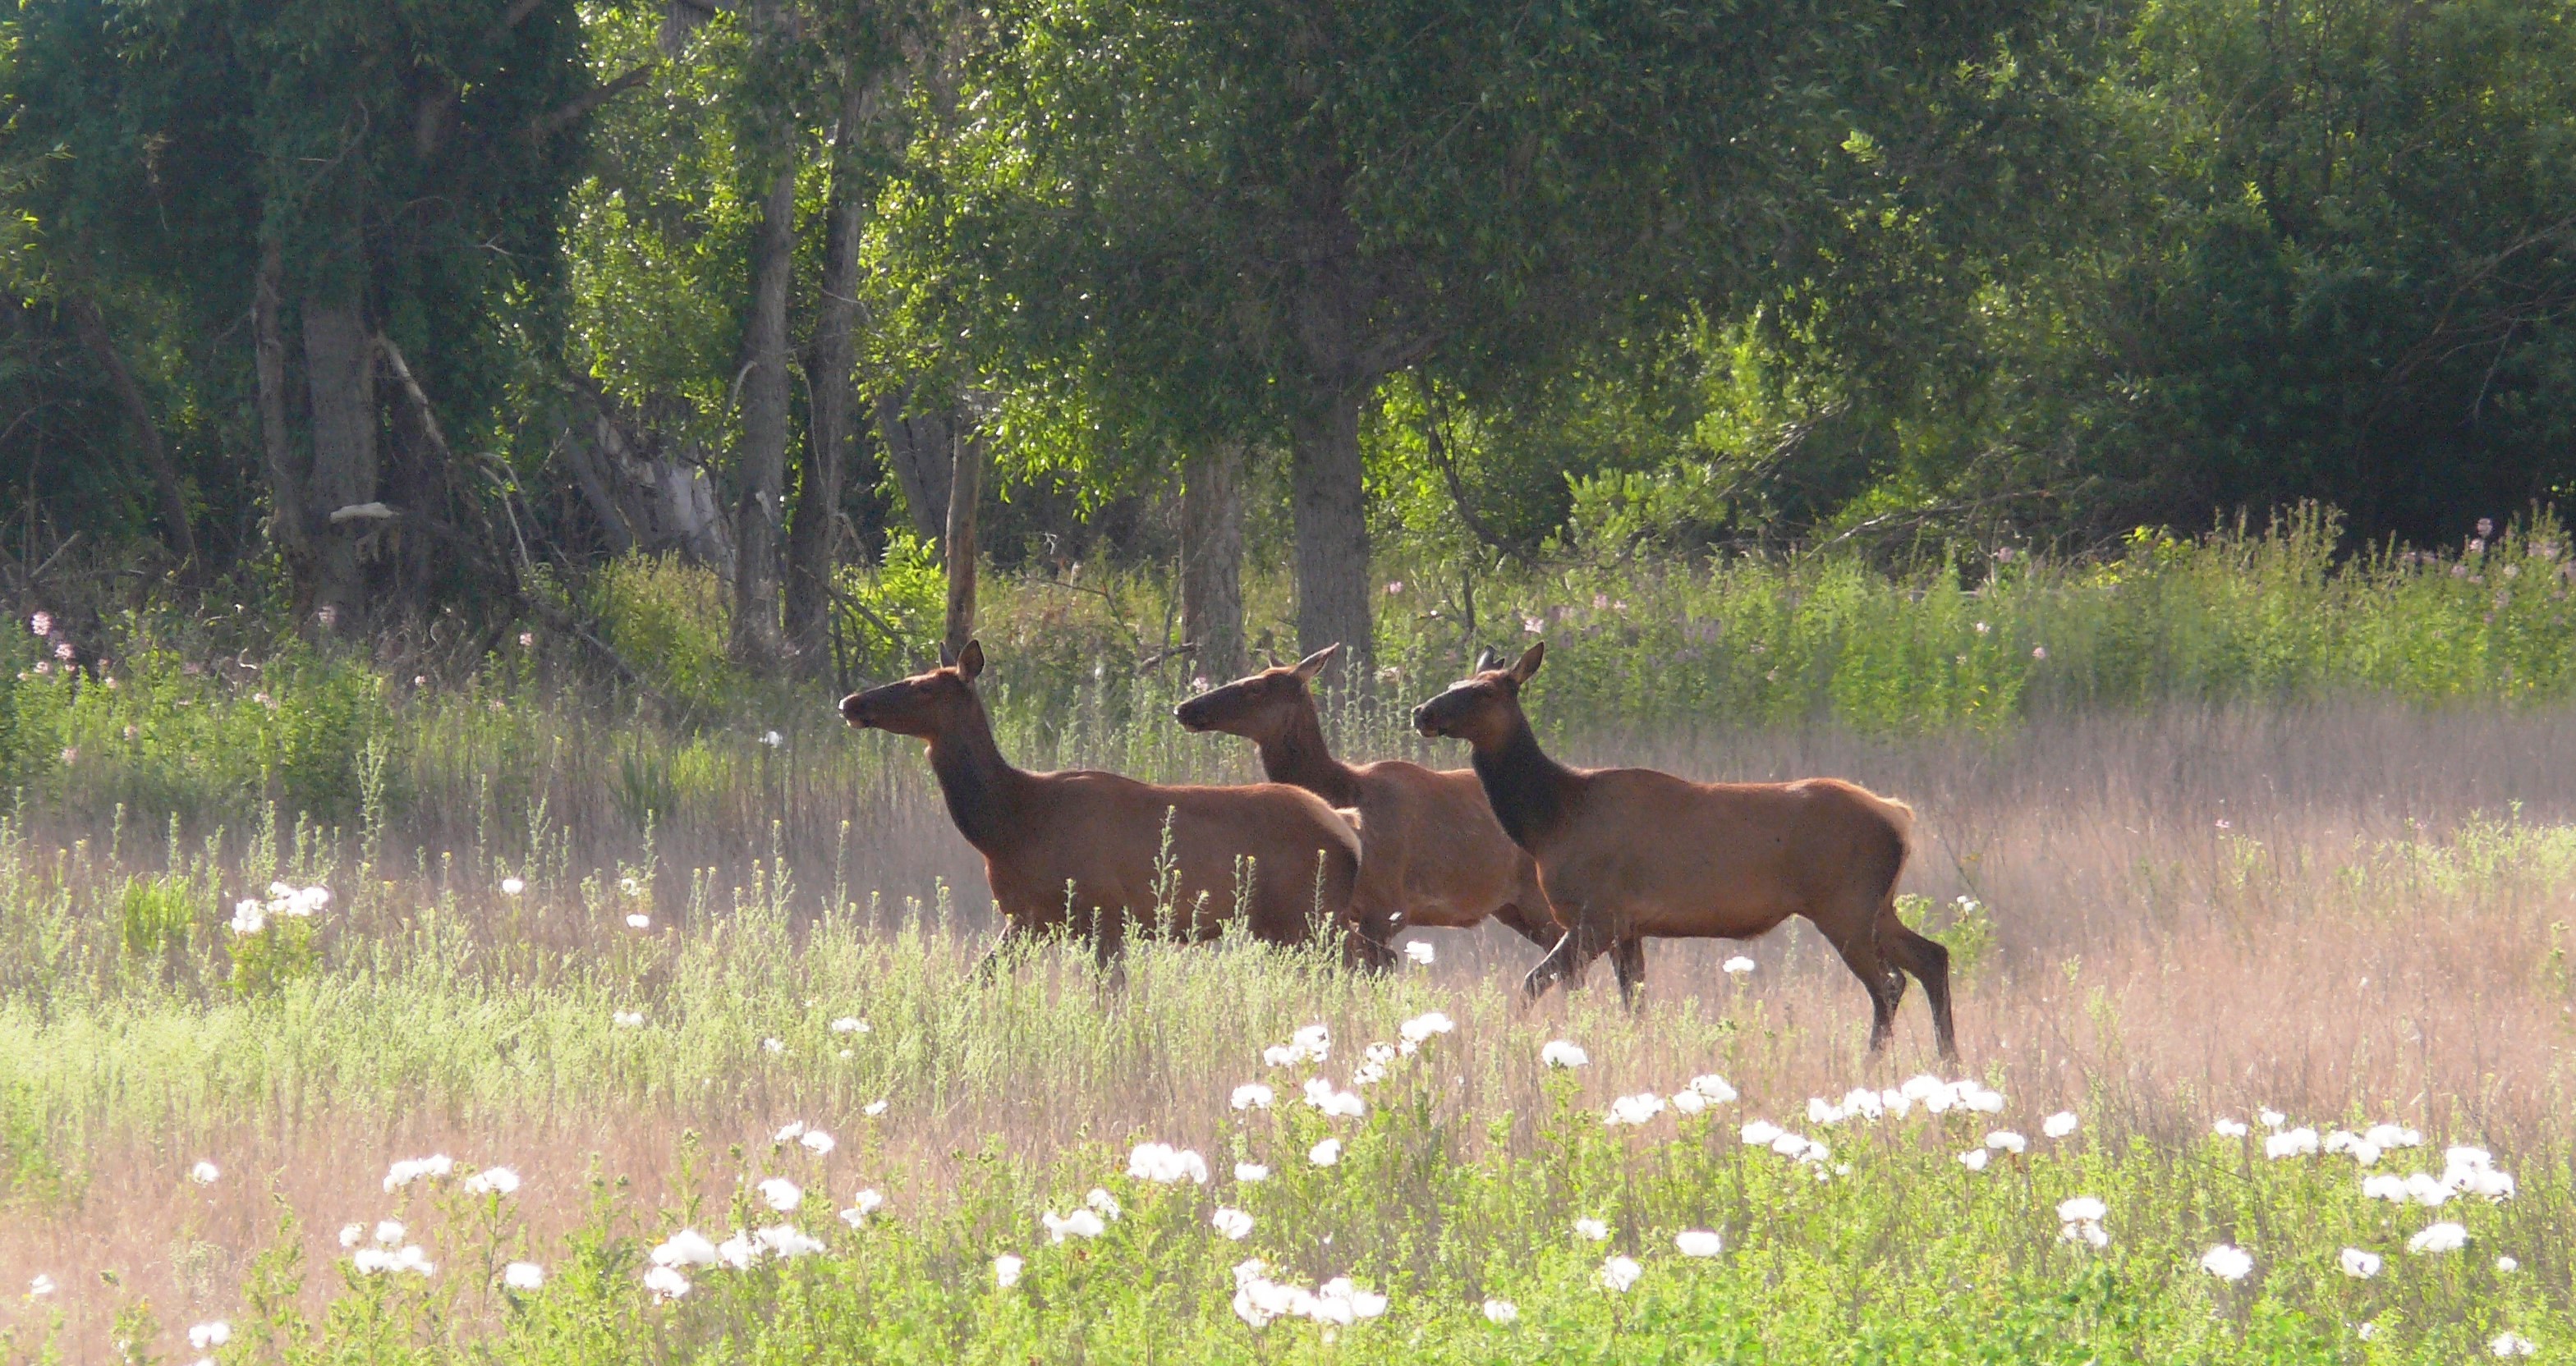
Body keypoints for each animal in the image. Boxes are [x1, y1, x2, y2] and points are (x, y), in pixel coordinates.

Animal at [838, 640, 1366, 970]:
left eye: (924, 686)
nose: (851, 702)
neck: (1012, 824)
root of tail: (1345, 824)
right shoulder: (1026, 919)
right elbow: (974, 983)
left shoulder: (1103, 913)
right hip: (1281, 923)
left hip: (1312, 911)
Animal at [1173, 644, 1563, 965]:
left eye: (1255, 687)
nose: (1185, 708)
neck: (1344, 791)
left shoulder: (1388, 905)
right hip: (1511, 907)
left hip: (1540, 898)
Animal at [1411, 642, 1956, 1061]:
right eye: (1456, 680)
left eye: (1484, 690)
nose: (1422, 711)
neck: (1549, 821)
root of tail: (1899, 816)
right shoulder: (1628, 926)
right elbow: (1634, 1004)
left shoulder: (1596, 915)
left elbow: (1533, 982)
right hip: (1876, 906)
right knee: (1932, 957)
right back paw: (1947, 1061)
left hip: (1845, 905)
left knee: (1888, 985)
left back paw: (1875, 1063)